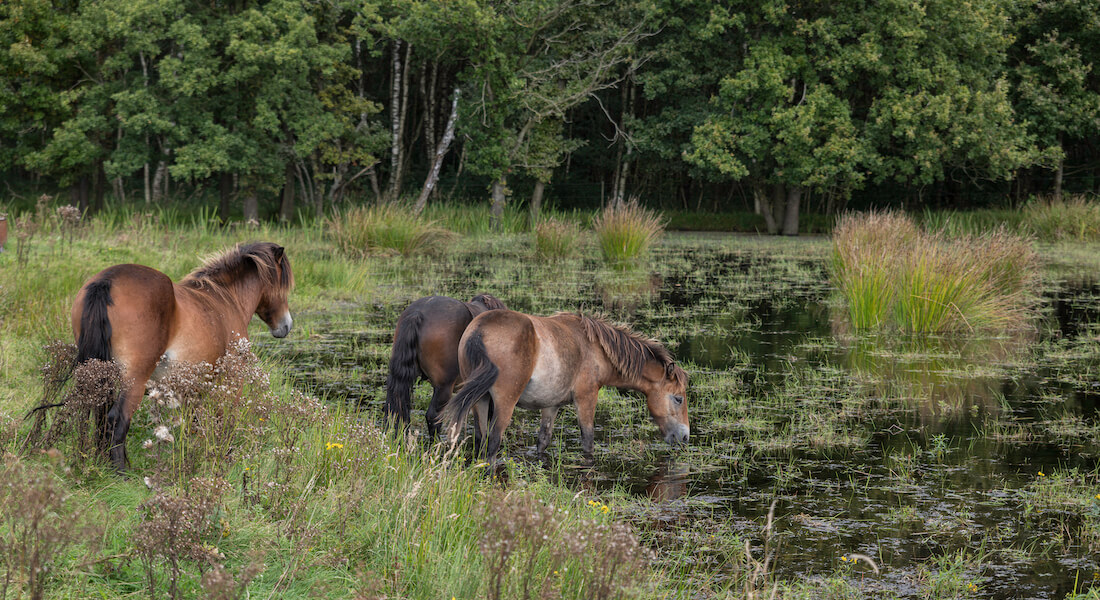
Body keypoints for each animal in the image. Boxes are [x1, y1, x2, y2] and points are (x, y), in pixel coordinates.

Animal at [72, 241, 297, 471]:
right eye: (283, 285)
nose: (286, 326)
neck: (226, 299)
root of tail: (106, 281)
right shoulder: (231, 382)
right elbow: (224, 423)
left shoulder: (194, 388)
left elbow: (194, 427)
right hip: (135, 379)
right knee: (117, 419)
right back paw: (120, 473)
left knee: (101, 418)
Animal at [440, 308, 682, 457]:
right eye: (678, 398)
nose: (684, 437)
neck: (595, 348)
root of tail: (479, 329)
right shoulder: (586, 398)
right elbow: (588, 441)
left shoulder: (551, 406)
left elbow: (543, 441)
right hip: (504, 403)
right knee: (492, 443)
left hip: (479, 402)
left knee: (481, 440)